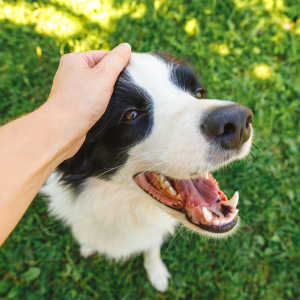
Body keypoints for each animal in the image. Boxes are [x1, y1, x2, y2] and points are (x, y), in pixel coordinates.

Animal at [41, 52, 253, 292]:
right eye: (131, 114)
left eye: (198, 93)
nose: (237, 120)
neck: (121, 208)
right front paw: (88, 245)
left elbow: (152, 249)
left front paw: (156, 272)